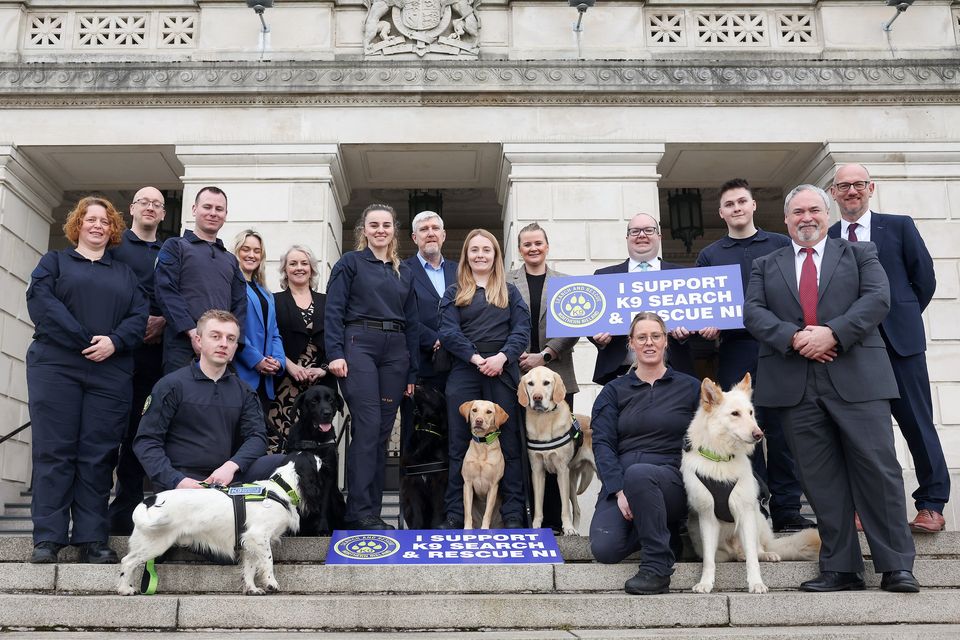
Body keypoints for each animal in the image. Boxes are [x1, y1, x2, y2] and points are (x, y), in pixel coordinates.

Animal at [118, 452, 322, 596]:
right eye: (314, 458)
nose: (322, 456)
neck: (279, 489)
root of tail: (149, 500)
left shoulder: (247, 541)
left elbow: (250, 568)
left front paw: (252, 589)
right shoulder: (258, 536)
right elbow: (268, 561)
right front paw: (272, 583)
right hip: (155, 543)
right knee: (127, 562)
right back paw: (125, 589)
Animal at [282, 384, 344, 536]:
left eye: (331, 400)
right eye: (313, 401)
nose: (327, 413)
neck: (314, 440)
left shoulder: (328, 476)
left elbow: (324, 505)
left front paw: (323, 528)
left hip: (338, 498)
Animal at [400, 384, 448, 528]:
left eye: (434, 390)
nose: (416, 384)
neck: (426, 427)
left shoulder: (439, 482)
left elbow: (438, 509)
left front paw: (437, 526)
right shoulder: (412, 483)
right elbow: (417, 511)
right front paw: (417, 528)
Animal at [684, 376, 816, 596]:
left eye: (751, 413)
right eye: (735, 414)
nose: (759, 434)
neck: (722, 459)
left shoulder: (745, 513)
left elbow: (753, 559)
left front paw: (756, 583)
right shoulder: (707, 518)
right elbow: (709, 561)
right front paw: (705, 583)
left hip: (758, 517)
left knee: (757, 549)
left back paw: (766, 554)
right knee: (726, 555)